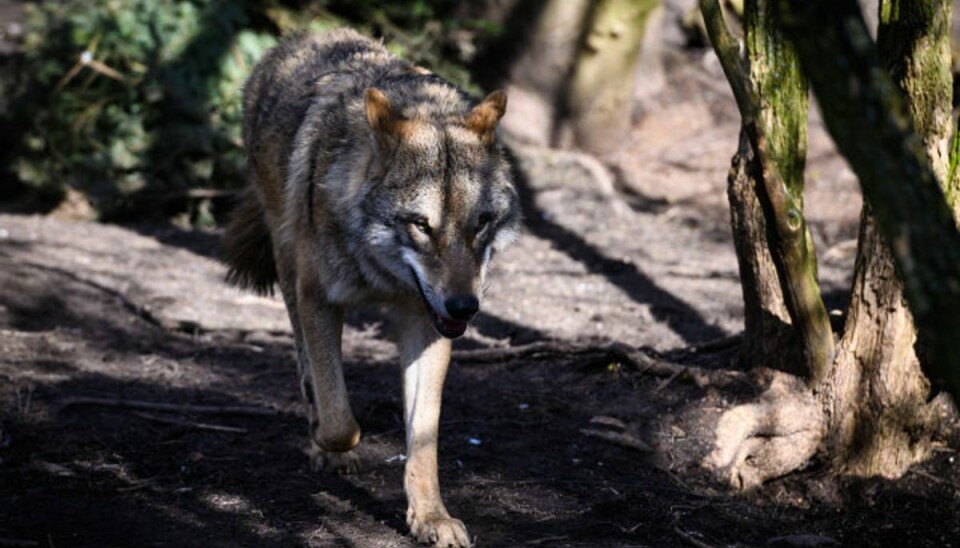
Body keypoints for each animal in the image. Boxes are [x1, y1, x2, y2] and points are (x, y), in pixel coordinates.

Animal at [222, 30, 520, 548]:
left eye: (480, 223)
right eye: (421, 225)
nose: (465, 307)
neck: (383, 277)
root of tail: (299, 39)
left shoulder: (427, 324)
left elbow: (423, 437)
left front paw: (430, 517)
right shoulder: (318, 299)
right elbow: (340, 418)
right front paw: (330, 444)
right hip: (288, 271)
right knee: (307, 370)